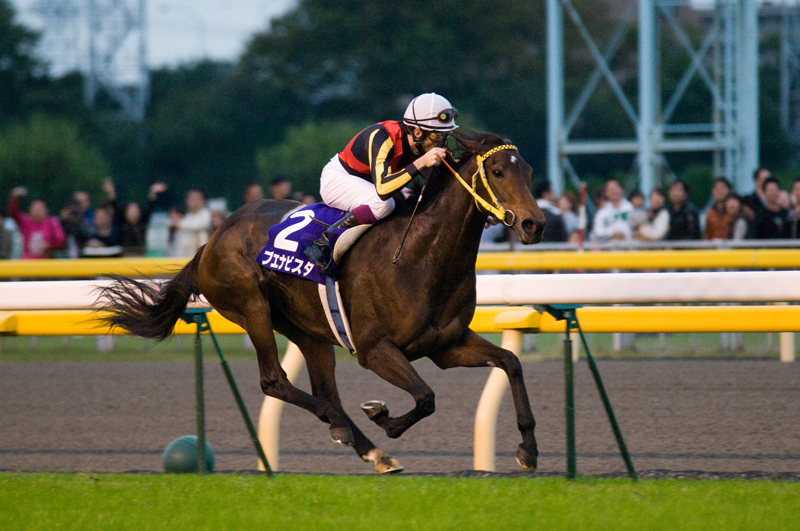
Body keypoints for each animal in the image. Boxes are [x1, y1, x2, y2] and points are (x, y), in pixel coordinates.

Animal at [97, 131, 548, 476]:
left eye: (527, 171)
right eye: (497, 171)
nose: (535, 224)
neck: (420, 256)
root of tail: (212, 238)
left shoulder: (445, 345)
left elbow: (511, 363)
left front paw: (528, 450)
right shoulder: (375, 349)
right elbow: (425, 397)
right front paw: (382, 416)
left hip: (308, 331)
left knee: (325, 391)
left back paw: (370, 449)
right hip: (251, 306)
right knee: (276, 382)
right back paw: (343, 427)